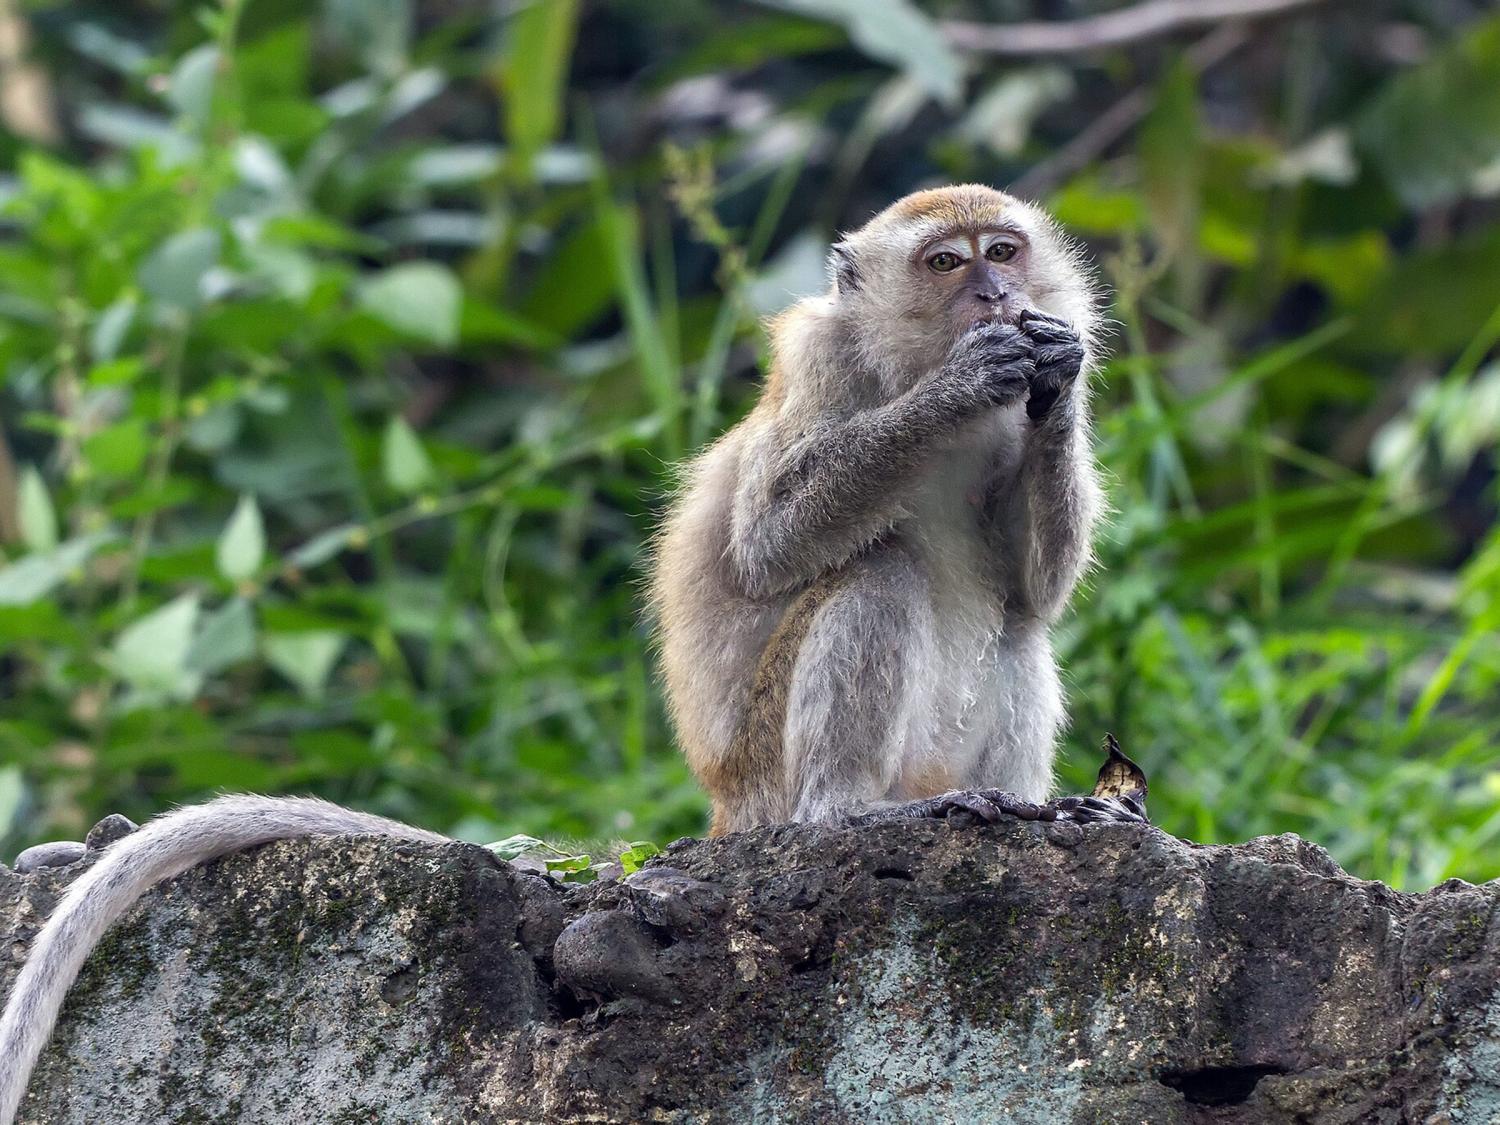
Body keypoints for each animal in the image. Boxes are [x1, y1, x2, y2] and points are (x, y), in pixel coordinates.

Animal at [649, 182, 1145, 835]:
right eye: (946, 262)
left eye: (1002, 251)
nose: (995, 294)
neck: (908, 366)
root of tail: (728, 807)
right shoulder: (818, 360)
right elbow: (766, 546)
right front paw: (956, 389)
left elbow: (1035, 589)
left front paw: (1059, 369)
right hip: (768, 782)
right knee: (877, 572)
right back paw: (846, 806)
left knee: (1019, 623)